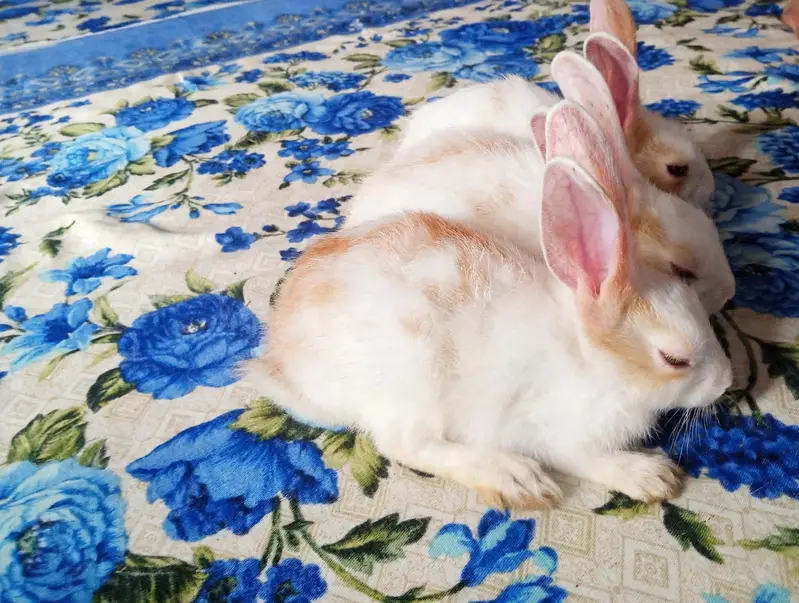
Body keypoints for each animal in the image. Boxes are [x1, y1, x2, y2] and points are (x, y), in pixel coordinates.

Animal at [253, 100, 733, 509]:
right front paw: (653, 476)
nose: (727, 381)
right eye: (675, 359)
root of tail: (283, 360)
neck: (592, 358)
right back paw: (516, 479)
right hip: (409, 377)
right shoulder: (561, 434)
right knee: (408, 445)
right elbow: (590, 459)